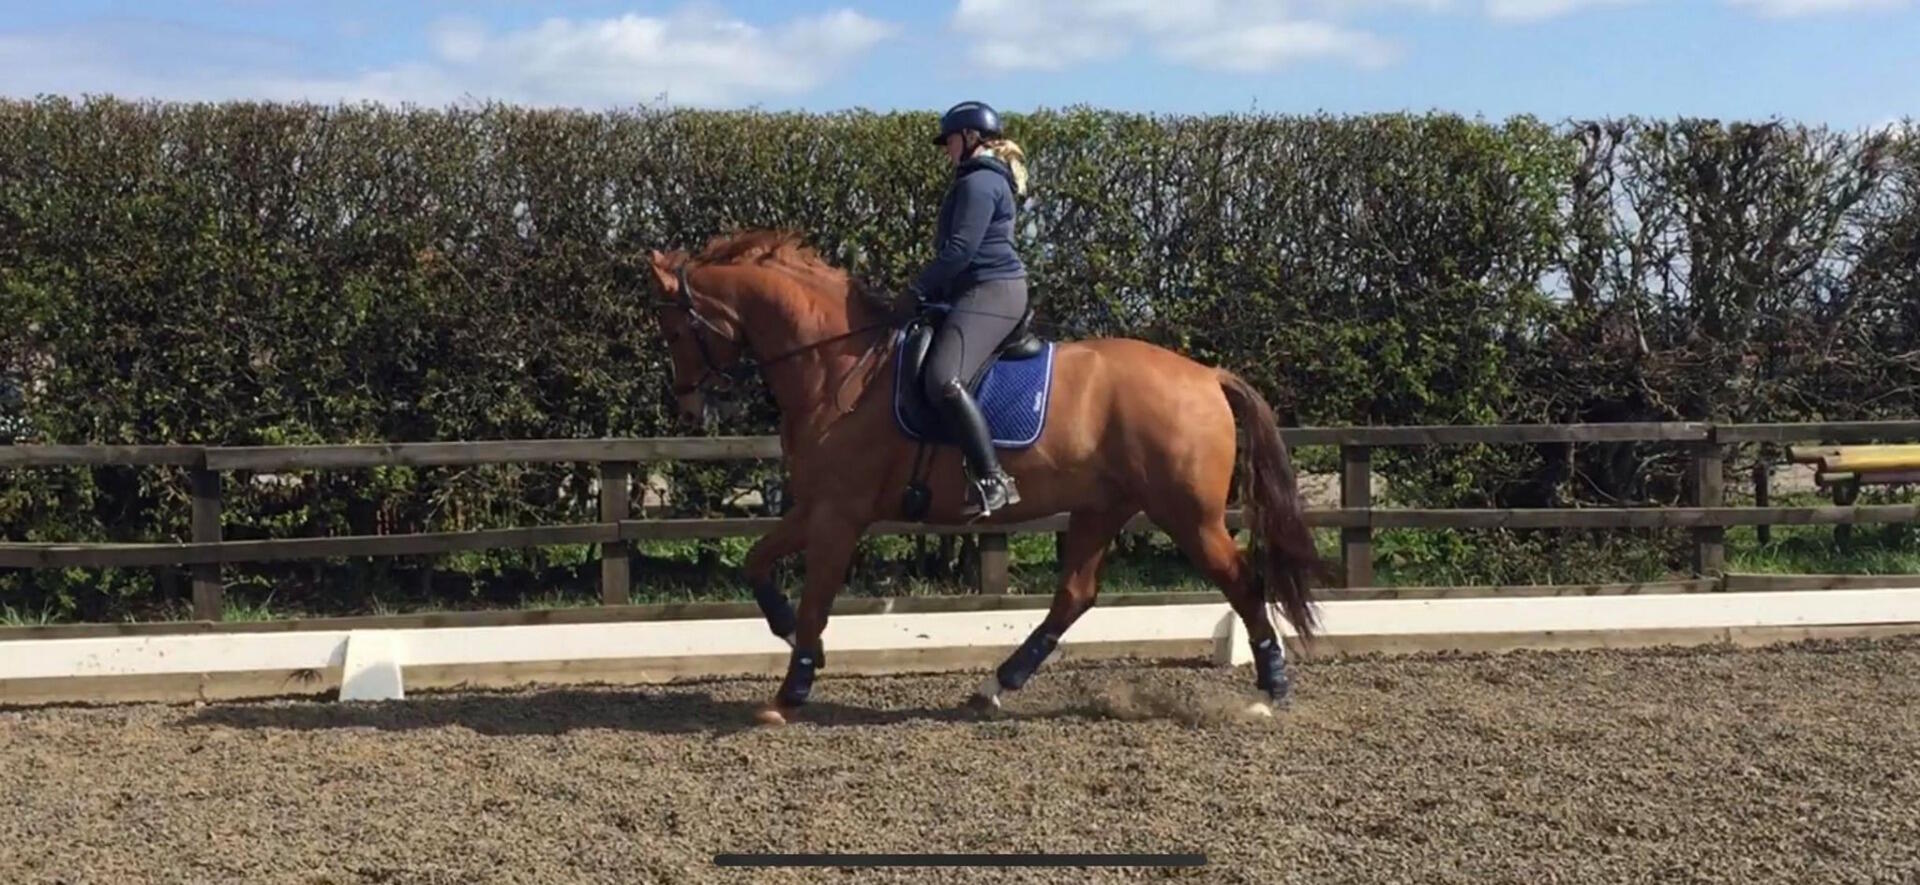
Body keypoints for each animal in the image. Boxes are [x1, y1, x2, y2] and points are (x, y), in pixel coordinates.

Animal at [637, 229, 1328, 725]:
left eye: (673, 328)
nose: (691, 408)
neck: (835, 363)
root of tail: (1207, 373)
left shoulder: (840, 514)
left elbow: (815, 601)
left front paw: (791, 691)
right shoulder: (814, 507)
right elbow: (758, 563)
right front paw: (789, 638)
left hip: (1187, 514)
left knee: (1242, 581)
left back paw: (1272, 689)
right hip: (1102, 507)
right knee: (1075, 595)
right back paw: (994, 687)